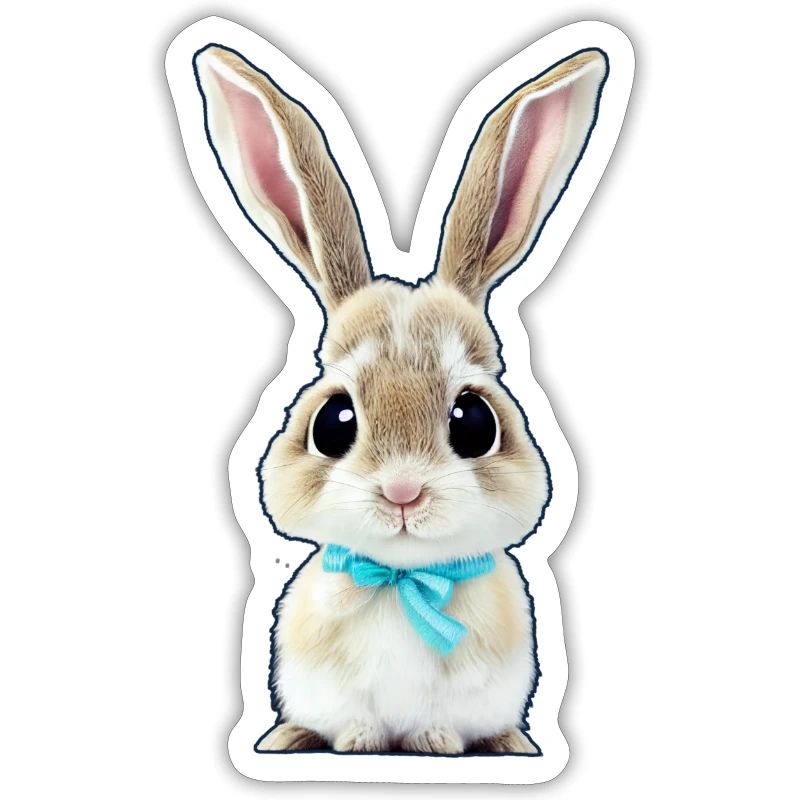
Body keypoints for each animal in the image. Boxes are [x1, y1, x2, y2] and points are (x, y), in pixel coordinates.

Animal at [193, 44, 607, 755]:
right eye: (334, 423)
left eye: (474, 422)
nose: (403, 492)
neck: (402, 576)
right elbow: (352, 717)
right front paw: (359, 741)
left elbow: (446, 725)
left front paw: (435, 741)